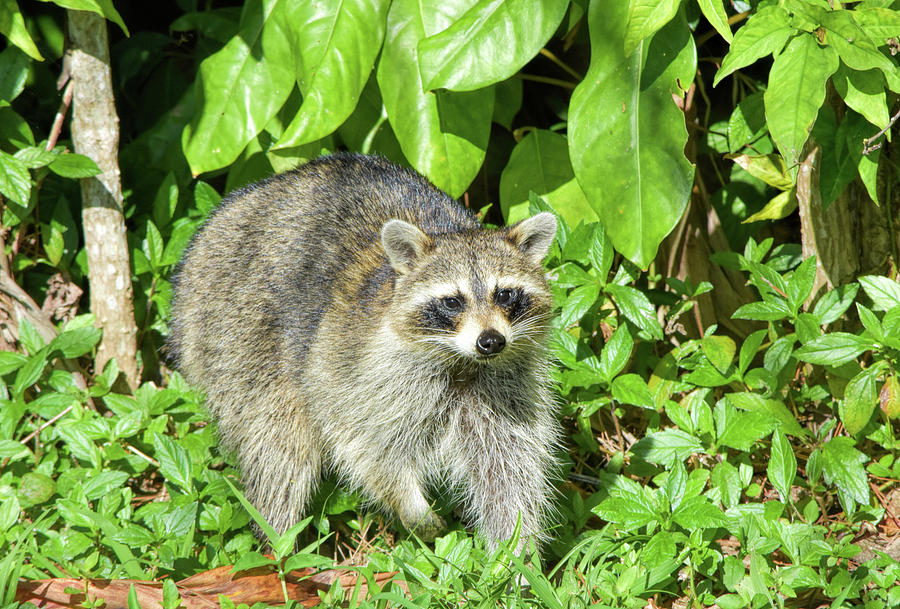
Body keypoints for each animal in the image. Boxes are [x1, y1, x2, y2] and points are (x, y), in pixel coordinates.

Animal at [169, 152, 560, 548]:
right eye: (452, 301)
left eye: (505, 295)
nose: (490, 341)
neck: (461, 362)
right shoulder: (356, 370)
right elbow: (365, 446)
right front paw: (412, 508)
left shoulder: (502, 389)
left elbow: (508, 470)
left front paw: (515, 554)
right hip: (238, 334)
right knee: (281, 446)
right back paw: (277, 543)